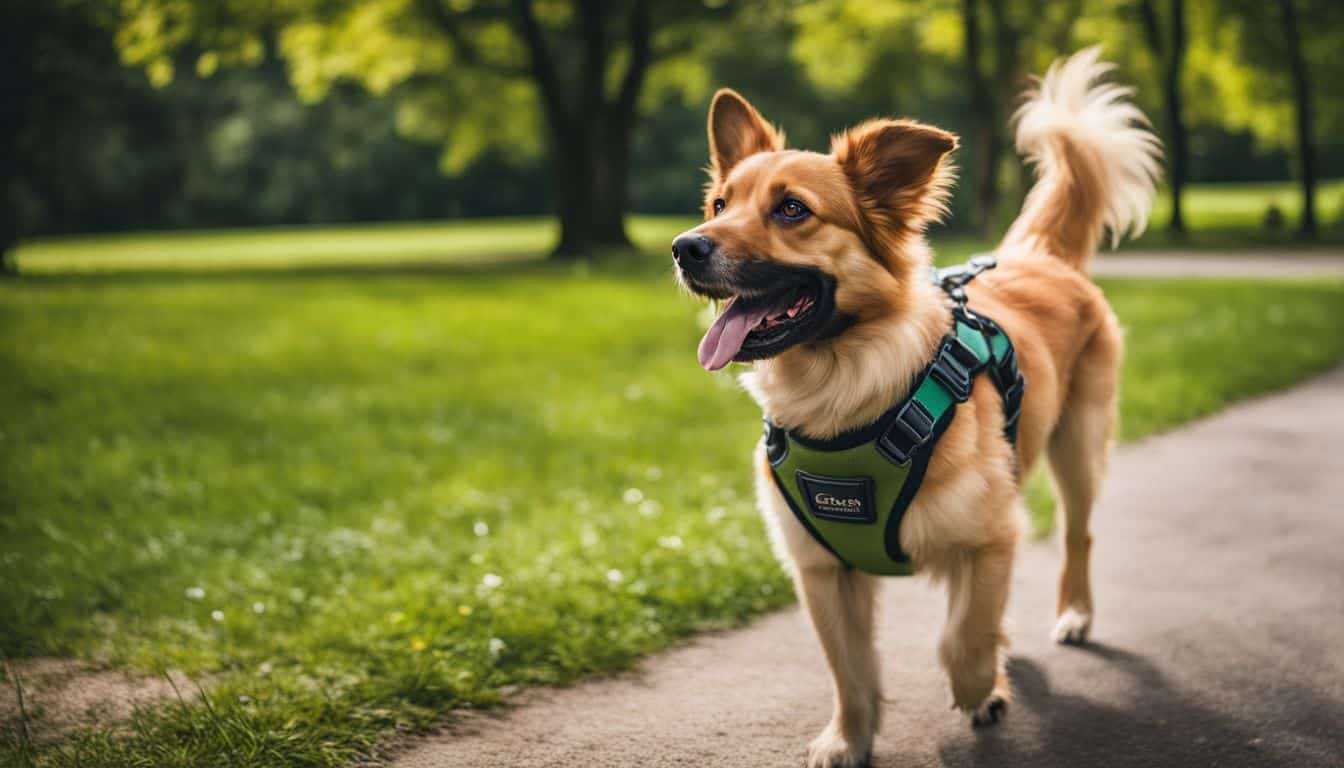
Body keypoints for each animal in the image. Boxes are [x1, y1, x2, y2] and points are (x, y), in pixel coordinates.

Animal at [666, 49, 1161, 768]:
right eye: (719, 204)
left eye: (791, 209)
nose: (685, 246)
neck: (843, 390)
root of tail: (1039, 254)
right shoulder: (822, 573)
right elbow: (849, 672)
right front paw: (849, 739)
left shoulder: (989, 534)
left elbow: (962, 636)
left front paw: (981, 690)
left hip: (1078, 447)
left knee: (1078, 534)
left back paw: (1074, 613)